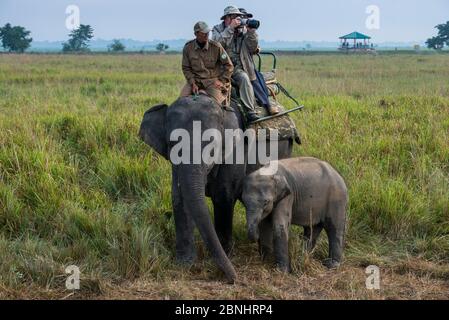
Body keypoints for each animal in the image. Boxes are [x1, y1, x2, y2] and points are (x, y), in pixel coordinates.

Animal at [140, 95, 294, 282]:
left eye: (212, 147)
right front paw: (185, 264)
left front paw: (227, 254)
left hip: (285, 149)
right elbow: (180, 199)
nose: (235, 279)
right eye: (171, 145)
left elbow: (223, 196)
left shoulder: (235, 152)